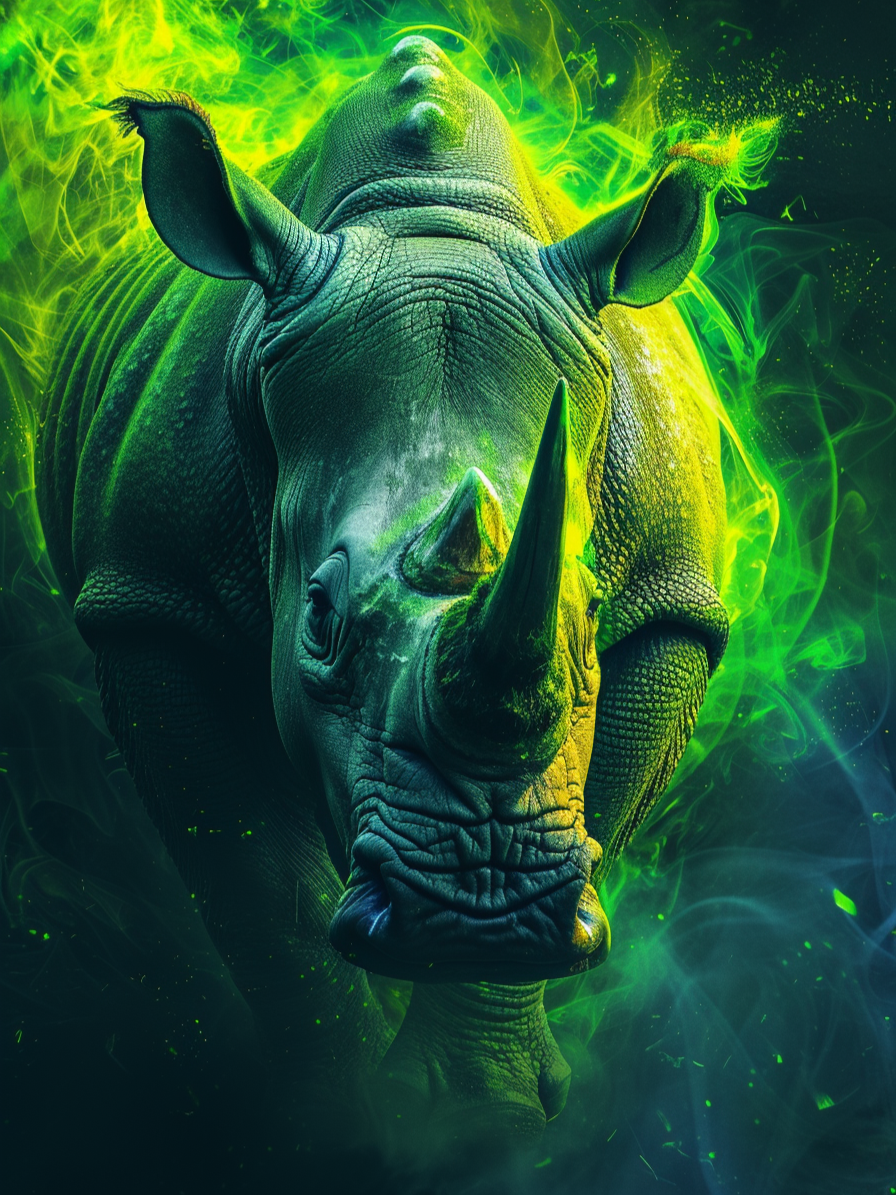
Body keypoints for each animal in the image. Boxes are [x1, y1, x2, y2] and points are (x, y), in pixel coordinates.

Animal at [37, 35, 728, 1143]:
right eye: (316, 617)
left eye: (587, 617)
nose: (479, 907)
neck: (426, 222)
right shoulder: (152, 598)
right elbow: (258, 885)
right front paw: (347, 1113)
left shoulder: (672, 603)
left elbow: (598, 803)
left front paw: (484, 1109)